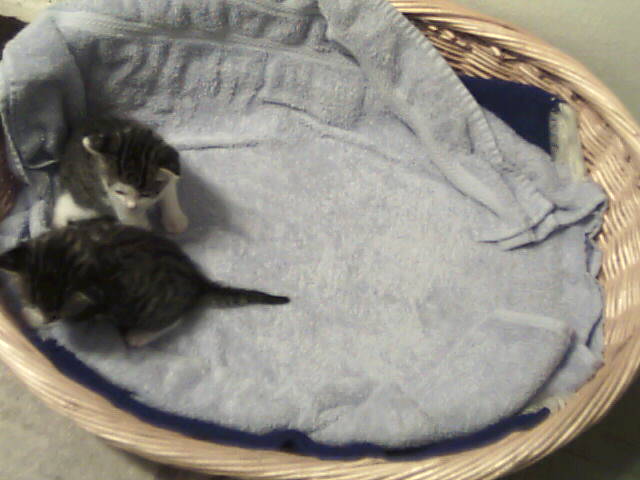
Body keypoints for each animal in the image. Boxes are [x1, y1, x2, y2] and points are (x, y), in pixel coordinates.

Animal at [0, 217, 289, 347]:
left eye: (55, 315)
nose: (48, 317)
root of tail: (198, 282)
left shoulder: (93, 304)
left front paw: (29, 317)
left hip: (151, 308)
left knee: (174, 319)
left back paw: (139, 336)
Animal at [52, 117, 189, 233]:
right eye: (120, 192)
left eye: (144, 194)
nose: (132, 206)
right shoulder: (110, 193)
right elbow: (125, 212)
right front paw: (140, 226)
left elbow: (169, 192)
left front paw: (175, 220)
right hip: (84, 203)